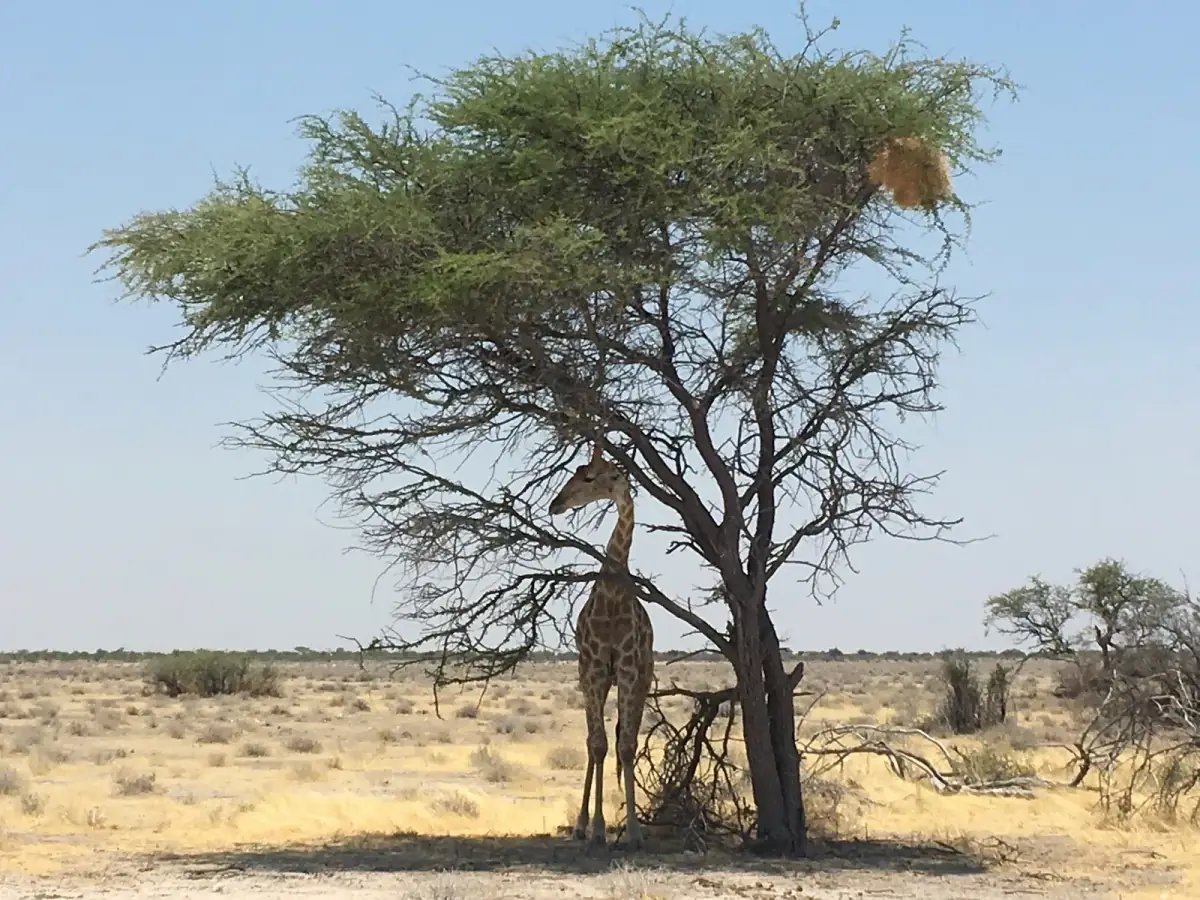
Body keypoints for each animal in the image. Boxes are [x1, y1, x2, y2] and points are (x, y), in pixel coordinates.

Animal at [549, 442, 653, 848]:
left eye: (590, 477)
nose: (556, 504)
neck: (610, 595)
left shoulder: (626, 668)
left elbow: (624, 745)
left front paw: (635, 832)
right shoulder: (592, 668)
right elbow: (597, 744)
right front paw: (594, 828)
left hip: (641, 678)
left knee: (625, 738)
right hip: (593, 677)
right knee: (593, 740)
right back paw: (583, 826)